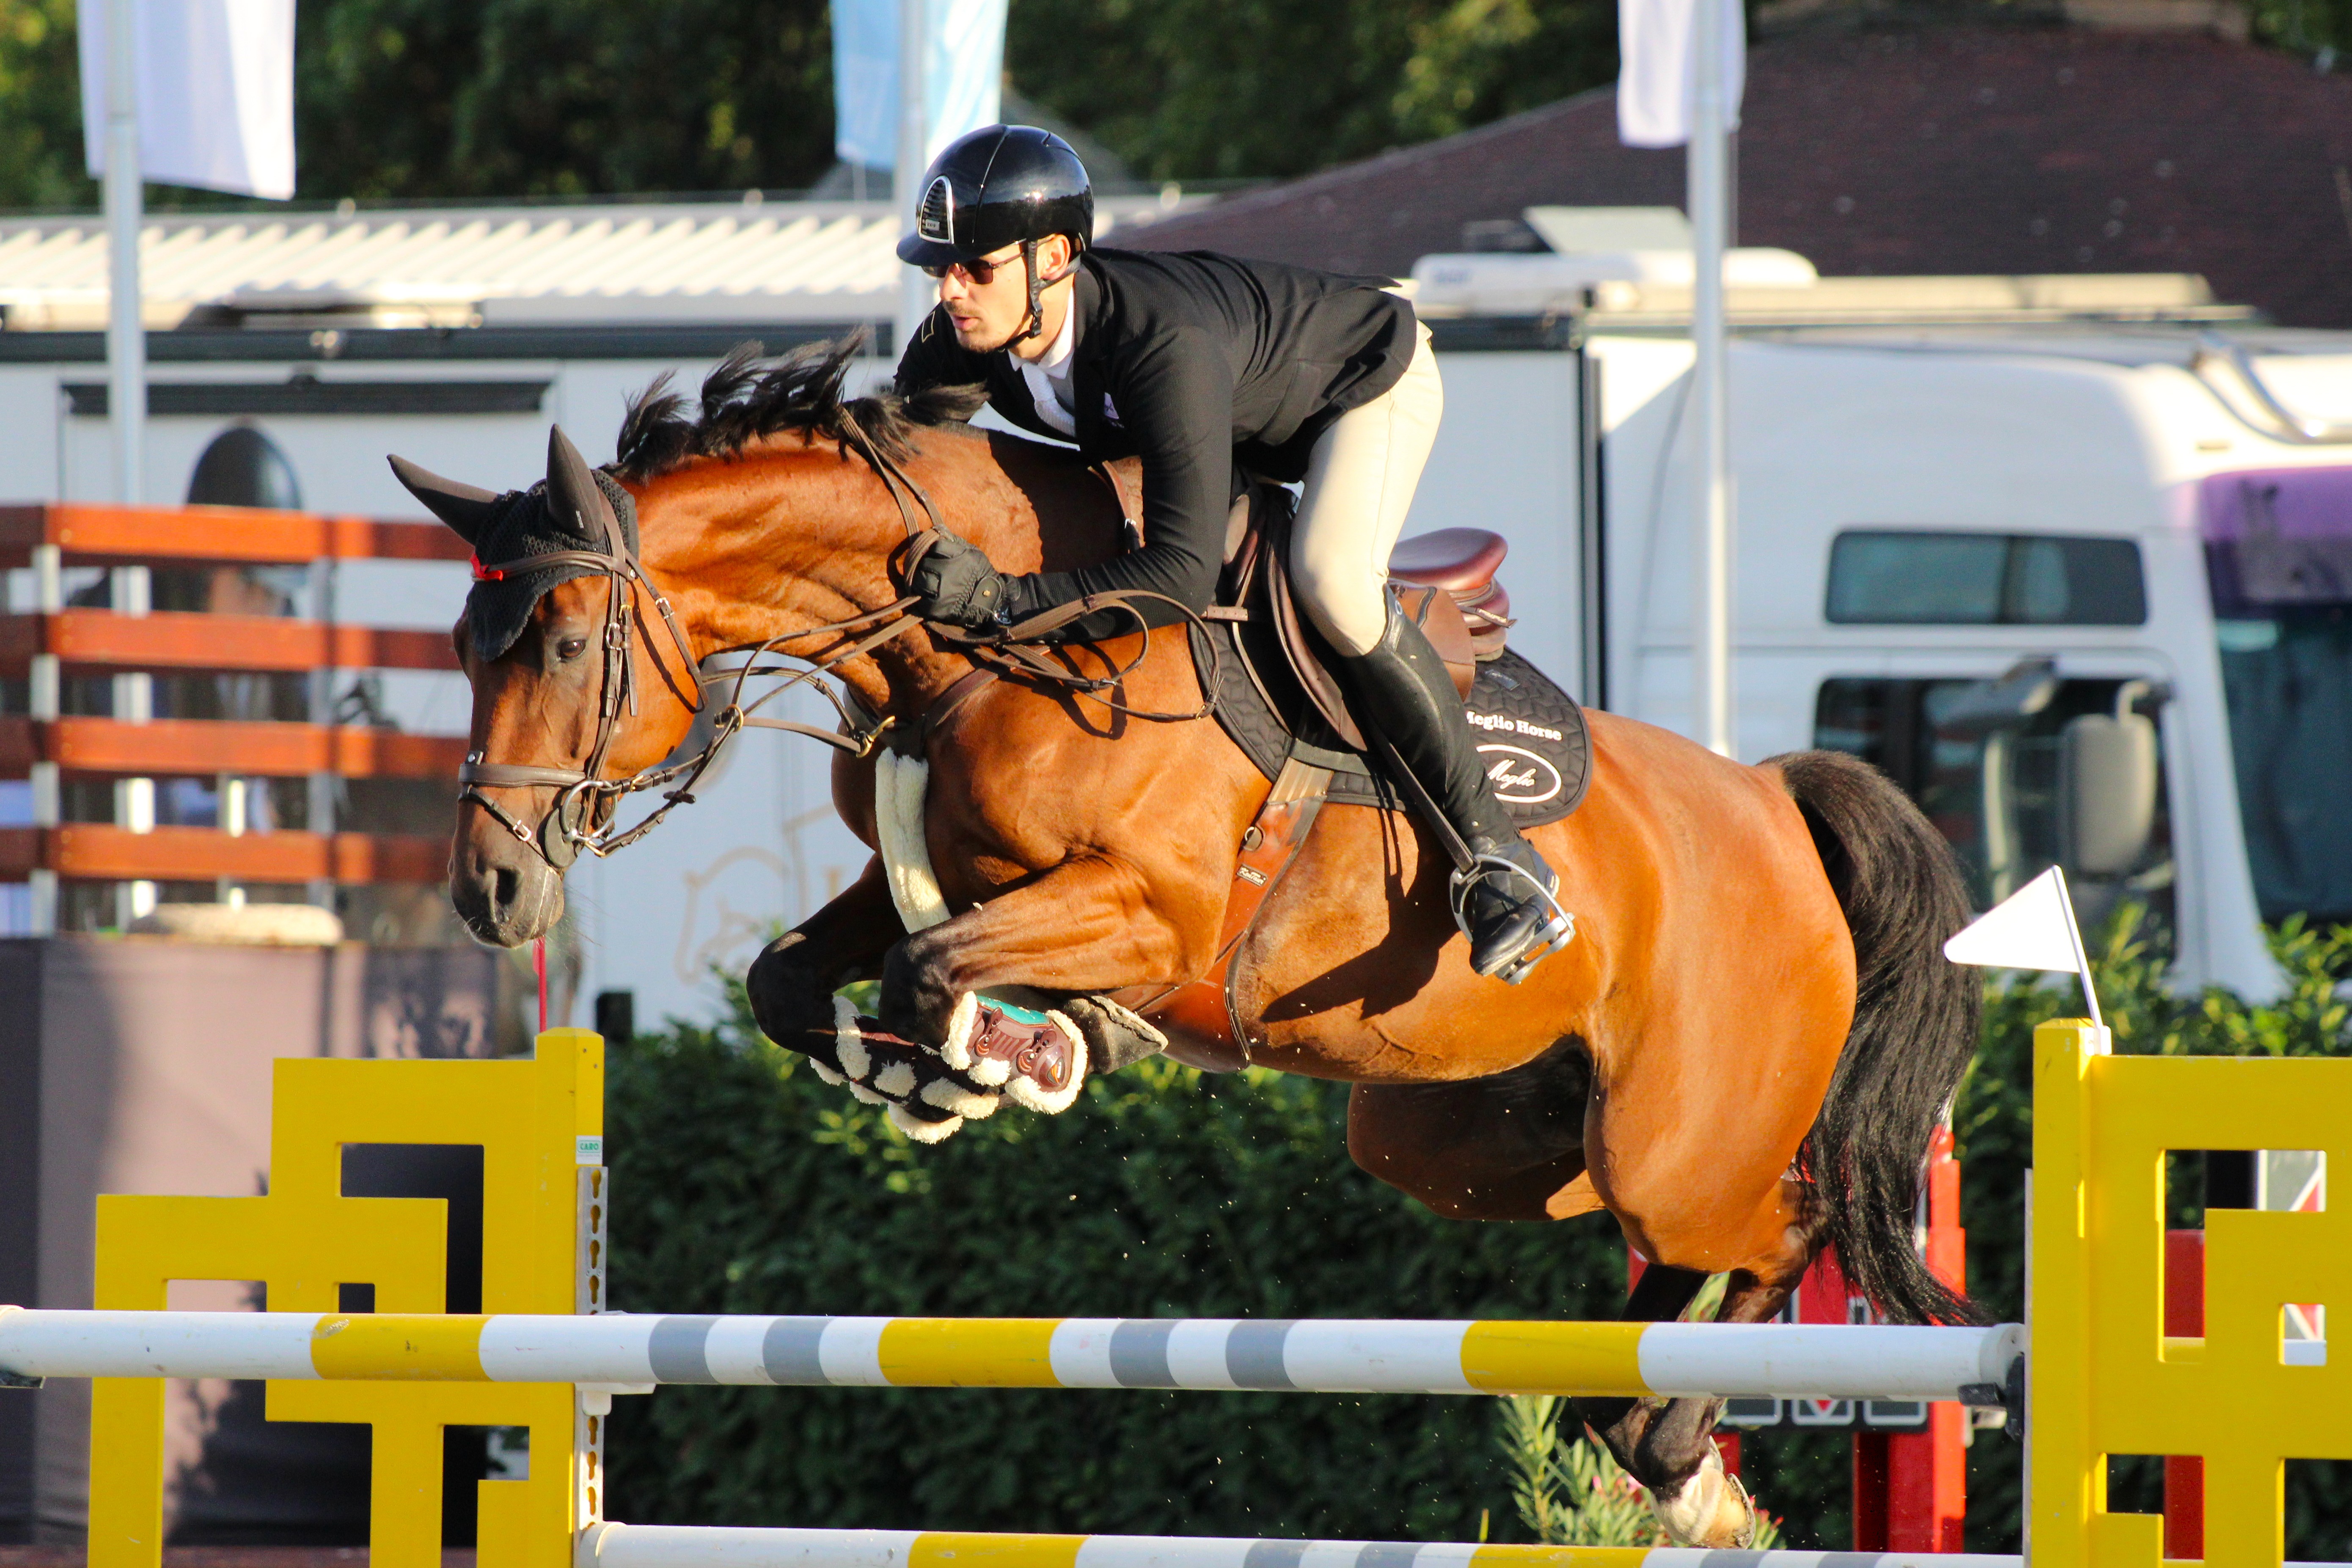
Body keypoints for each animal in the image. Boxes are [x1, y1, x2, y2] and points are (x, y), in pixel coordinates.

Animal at [403, 339, 1982, 1549]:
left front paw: (1007, 1057)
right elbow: (795, 974)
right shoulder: (912, 869)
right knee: (1654, 1260)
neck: (982, 634)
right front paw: (923, 1073)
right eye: (463, 650)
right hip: (1469, 1141)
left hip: (1676, 1144)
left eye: (559, 645)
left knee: (1785, 1220)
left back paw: (1677, 1452)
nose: (491, 889)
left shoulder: (1138, 907)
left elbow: (935, 967)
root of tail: (1775, 799)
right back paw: (1660, 1442)